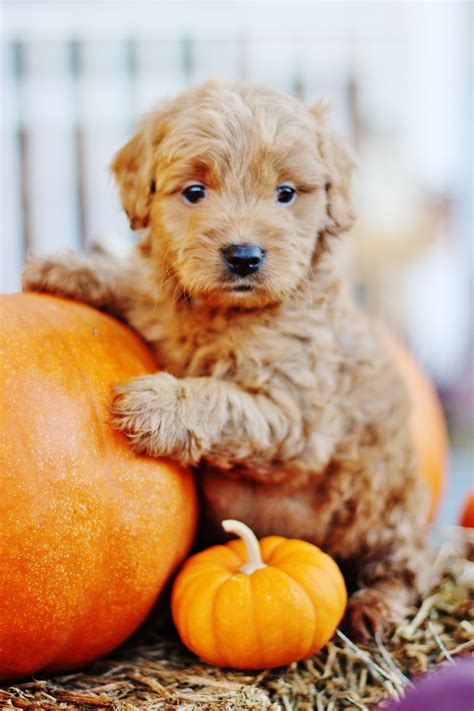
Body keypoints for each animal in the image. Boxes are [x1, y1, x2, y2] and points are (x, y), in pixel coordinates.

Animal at [24, 80, 436, 644]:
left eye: (286, 194)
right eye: (195, 192)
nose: (244, 256)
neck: (221, 313)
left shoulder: (297, 415)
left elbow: (224, 401)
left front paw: (155, 404)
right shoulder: (160, 304)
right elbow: (136, 287)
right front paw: (65, 268)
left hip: (387, 507)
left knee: (406, 564)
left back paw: (375, 607)